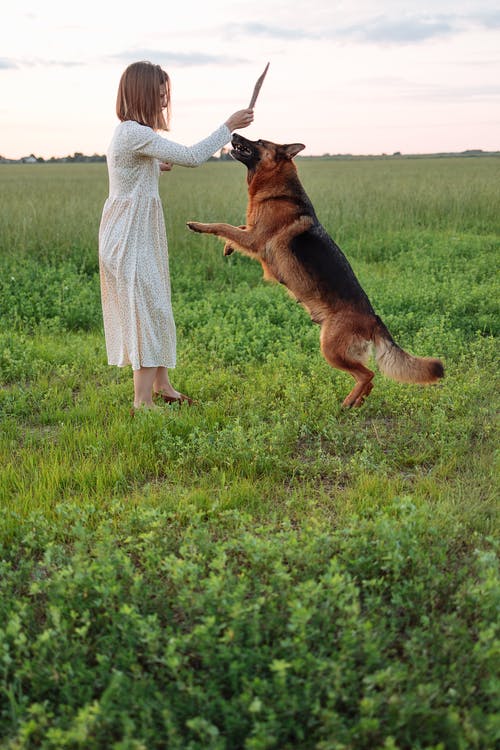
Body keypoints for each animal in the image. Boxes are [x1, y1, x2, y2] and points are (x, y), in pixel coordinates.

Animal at [188, 135, 446, 406]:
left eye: (259, 141)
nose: (234, 135)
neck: (276, 190)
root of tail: (374, 320)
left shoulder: (255, 239)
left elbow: (223, 226)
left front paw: (198, 225)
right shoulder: (251, 233)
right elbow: (236, 227)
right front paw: (227, 247)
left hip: (330, 349)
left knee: (368, 374)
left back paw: (347, 403)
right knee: (369, 379)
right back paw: (357, 402)